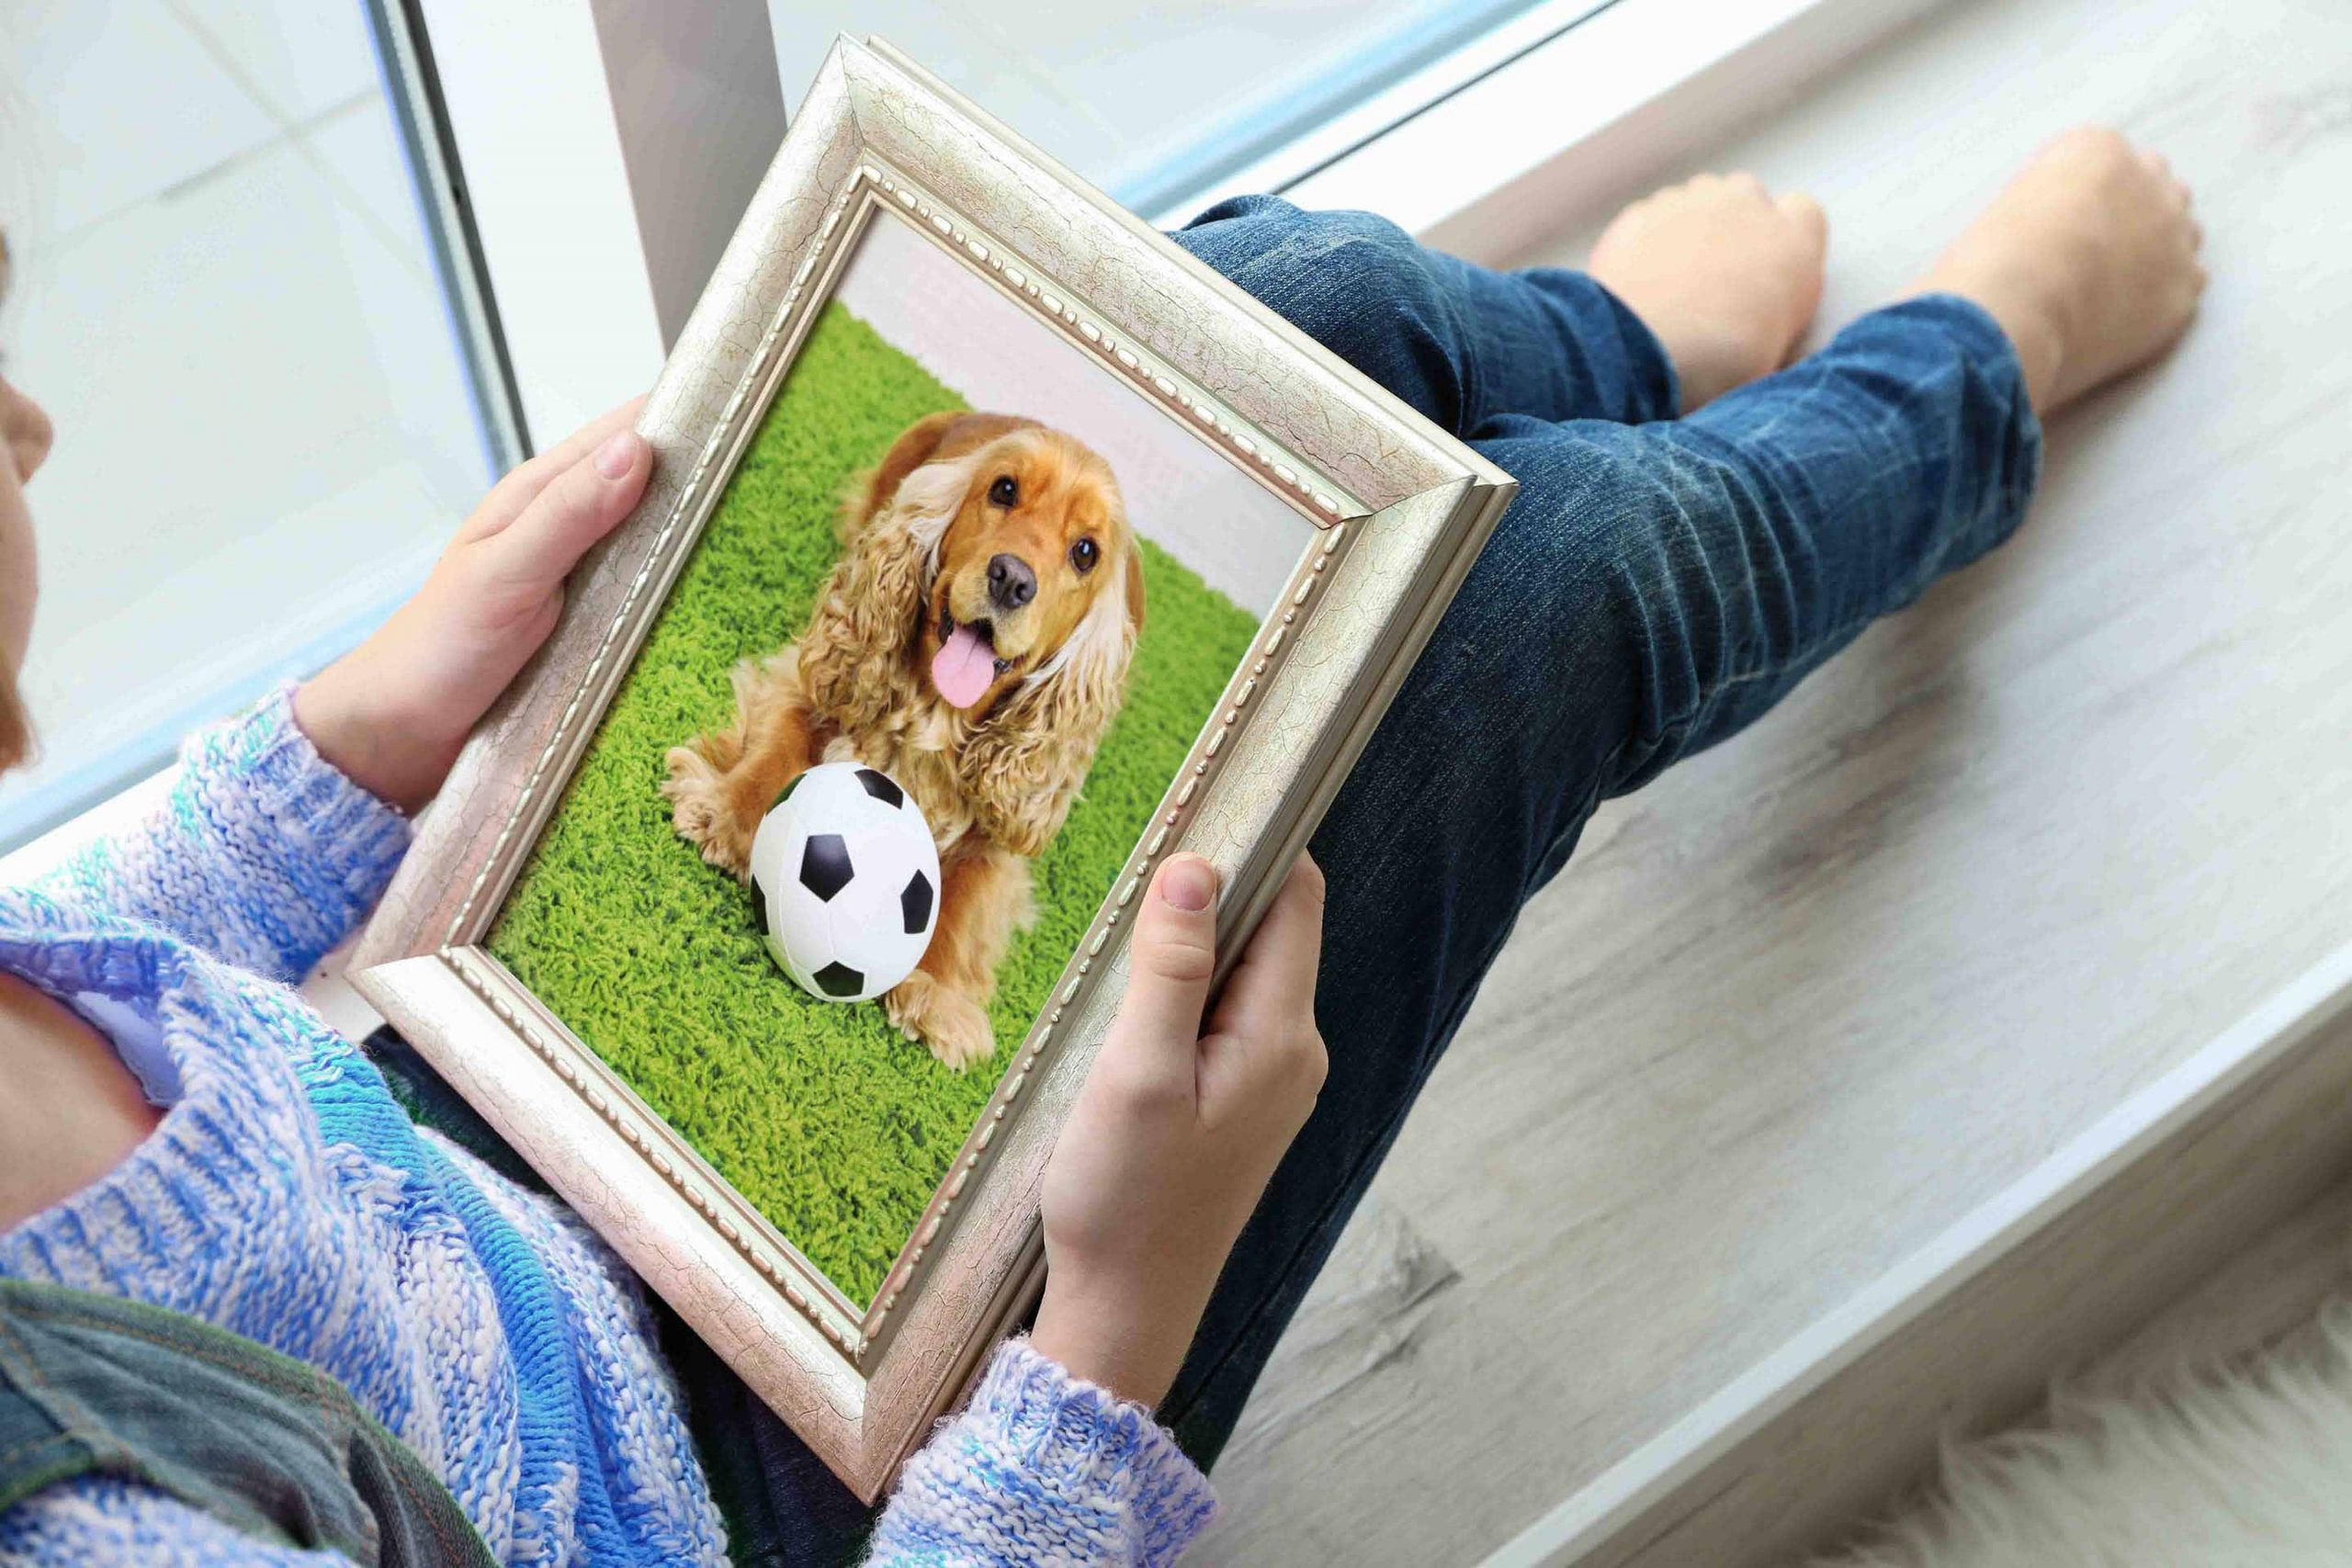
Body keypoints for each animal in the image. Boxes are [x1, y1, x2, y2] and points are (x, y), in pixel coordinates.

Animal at [658, 411, 1143, 1072]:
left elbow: (966, 899)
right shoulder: (805, 678)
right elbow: (778, 746)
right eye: (1004, 490)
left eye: (1085, 552)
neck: (936, 712)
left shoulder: (1005, 837)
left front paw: (937, 993)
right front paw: (724, 814)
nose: (1012, 579)